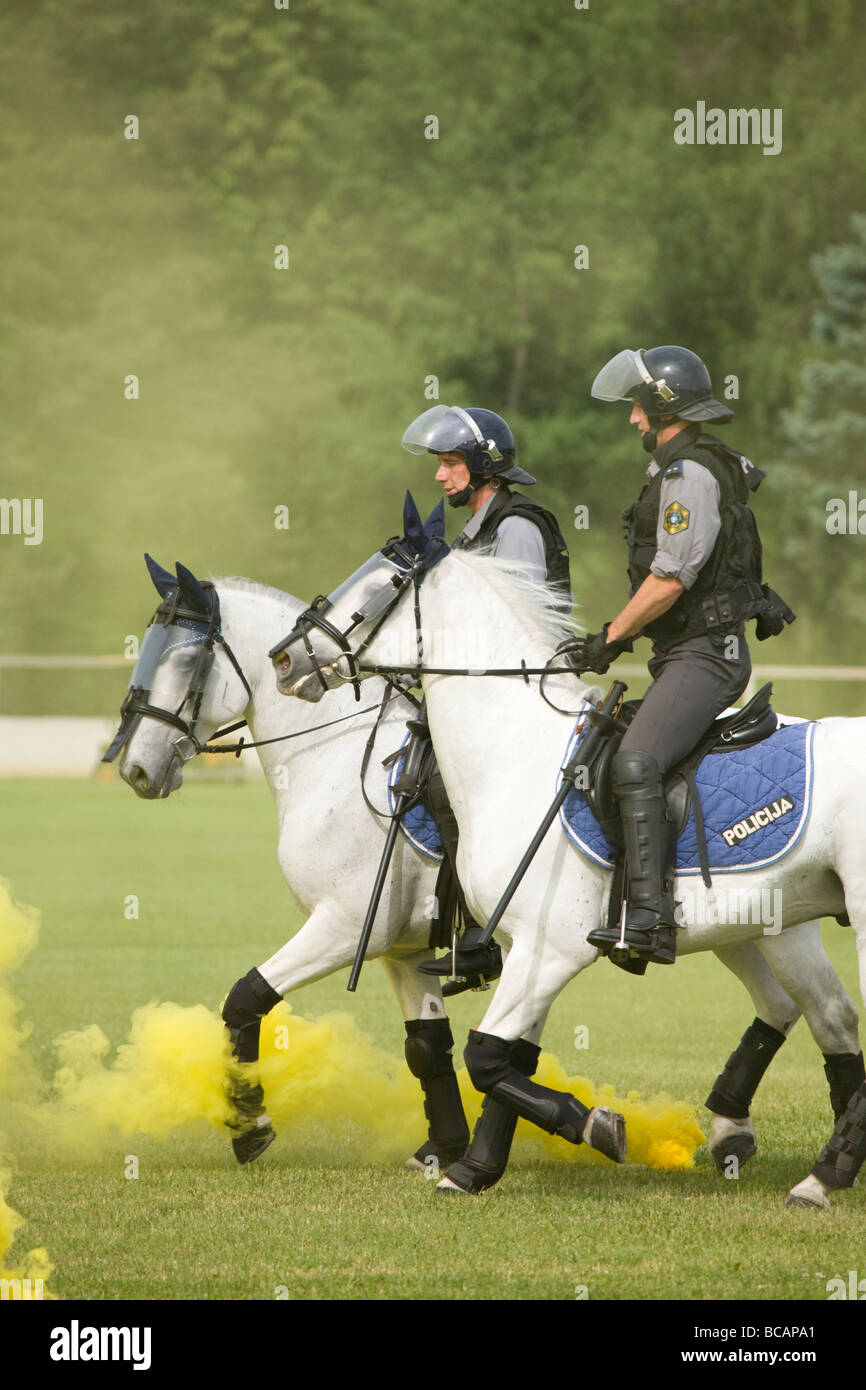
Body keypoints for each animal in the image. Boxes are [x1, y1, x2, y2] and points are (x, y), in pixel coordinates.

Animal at [276, 511, 866, 1206]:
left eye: (383, 583)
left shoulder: (549, 949)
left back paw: (816, 1173)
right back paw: (822, 1168)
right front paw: (476, 1169)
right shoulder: (525, 947)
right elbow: (504, 1060)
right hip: (776, 922)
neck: (514, 752)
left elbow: (485, 1058)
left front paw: (594, 1126)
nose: (285, 658)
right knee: (827, 1018)